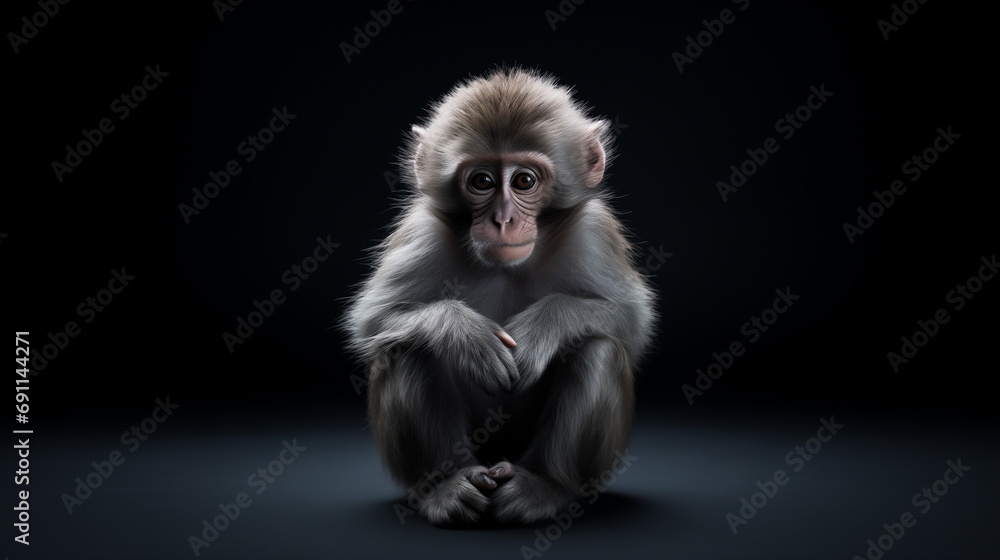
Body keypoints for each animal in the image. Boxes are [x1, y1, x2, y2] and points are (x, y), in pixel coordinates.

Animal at [344, 67, 656, 526]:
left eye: (524, 180)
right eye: (482, 181)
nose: (503, 219)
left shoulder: (593, 230)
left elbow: (632, 321)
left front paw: (543, 328)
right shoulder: (422, 231)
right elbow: (372, 321)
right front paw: (465, 334)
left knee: (597, 347)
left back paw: (544, 485)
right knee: (407, 348)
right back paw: (447, 485)